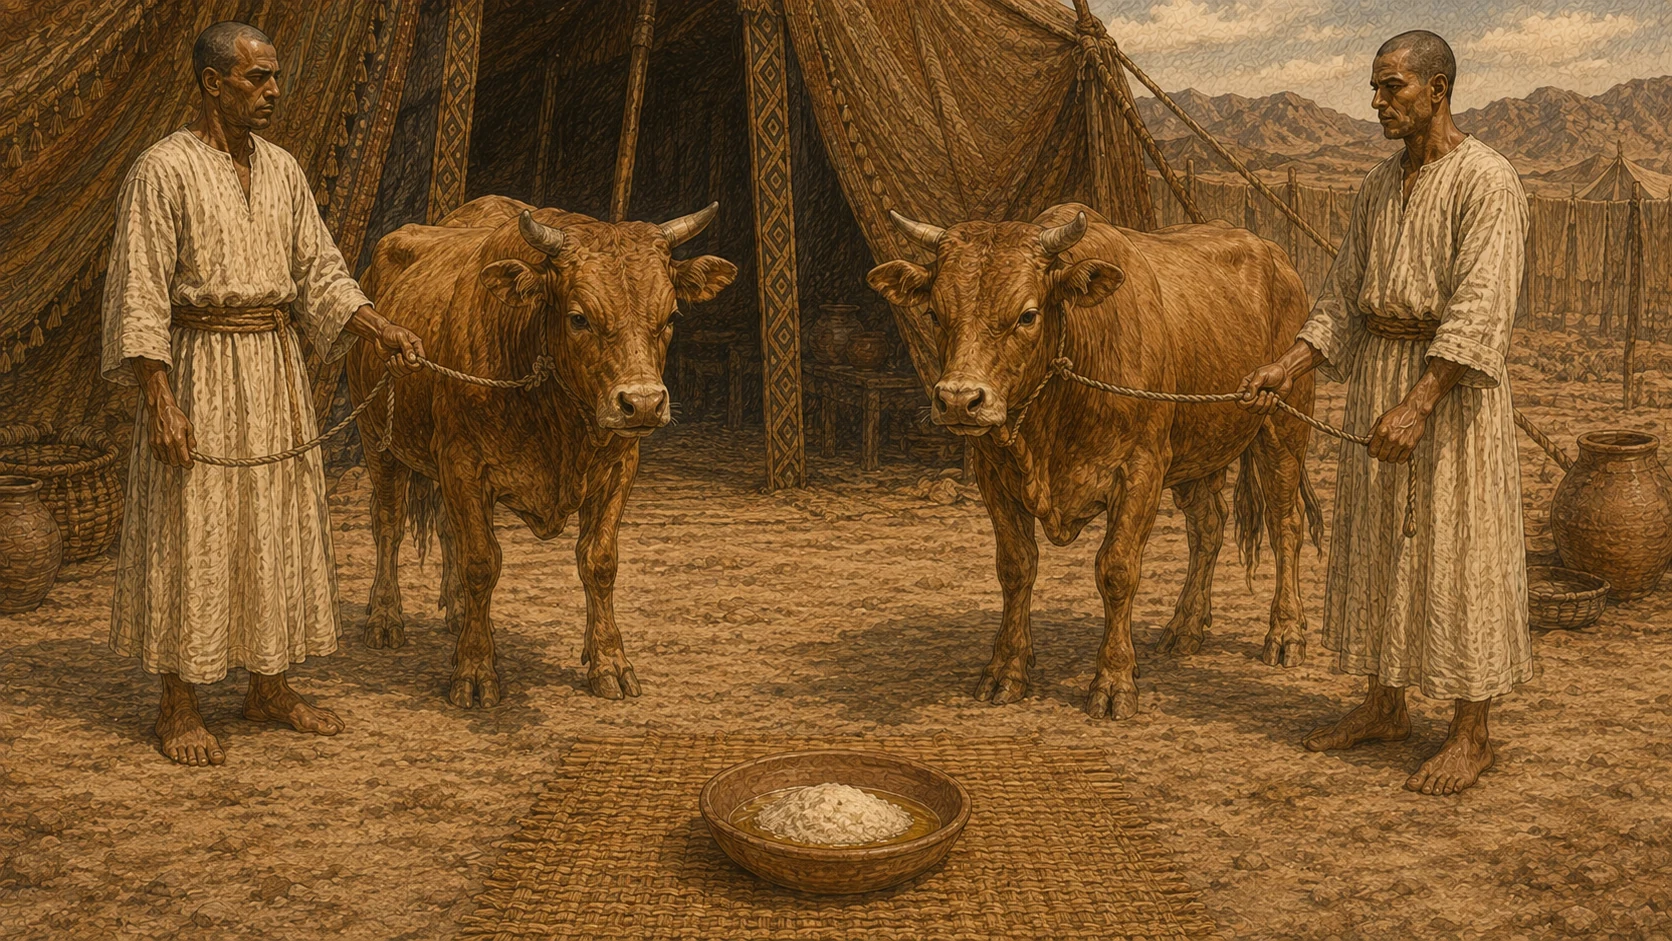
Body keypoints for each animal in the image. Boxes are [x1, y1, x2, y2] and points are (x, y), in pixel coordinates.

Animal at [347, 196, 737, 708]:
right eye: (579, 317)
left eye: (671, 317)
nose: (643, 403)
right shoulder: (462, 464)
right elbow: (481, 562)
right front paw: (475, 669)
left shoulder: (620, 466)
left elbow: (599, 562)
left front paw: (609, 662)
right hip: (378, 438)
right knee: (388, 524)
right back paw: (385, 617)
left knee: (446, 531)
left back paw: (457, 613)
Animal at [867, 203, 1323, 720]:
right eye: (934, 312)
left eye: (1028, 314)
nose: (960, 400)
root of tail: (1275, 255)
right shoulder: (993, 474)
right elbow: (1015, 567)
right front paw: (1007, 668)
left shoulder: (1141, 471)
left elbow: (1117, 571)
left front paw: (1114, 680)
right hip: (1199, 450)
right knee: (1208, 526)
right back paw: (1185, 628)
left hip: (1282, 429)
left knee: (1285, 524)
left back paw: (1285, 633)